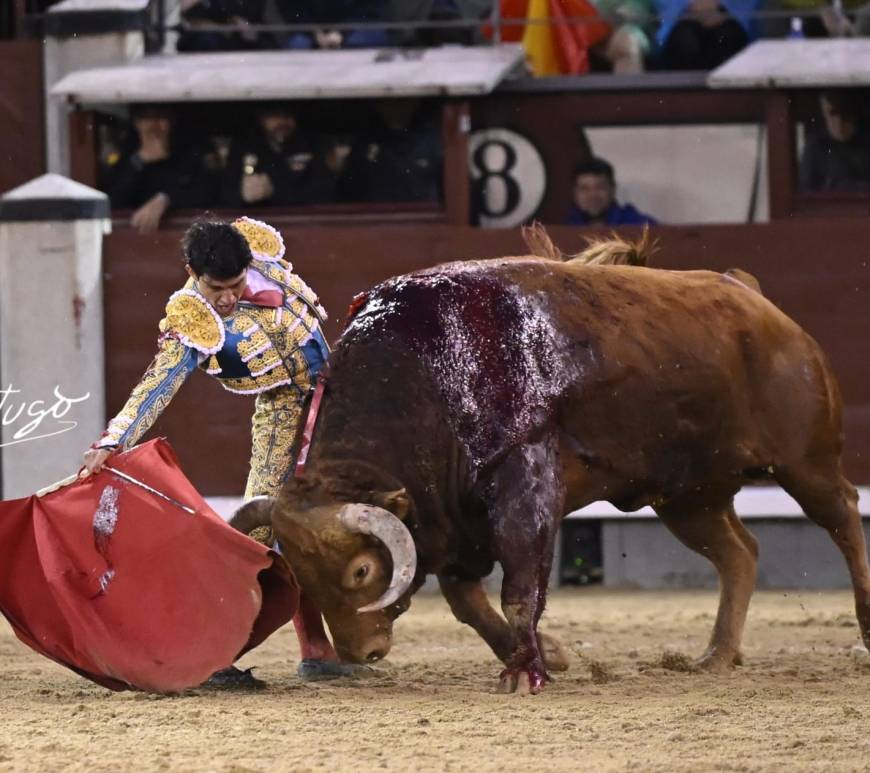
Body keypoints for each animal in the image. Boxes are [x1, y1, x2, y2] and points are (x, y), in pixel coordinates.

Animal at [231, 227, 870, 694]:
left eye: (362, 571)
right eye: (301, 576)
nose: (361, 652)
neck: (424, 373)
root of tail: (752, 296)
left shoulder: (526, 480)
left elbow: (517, 587)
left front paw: (526, 671)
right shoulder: (452, 516)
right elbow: (467, 601)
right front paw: (549, 655)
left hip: (806, 461)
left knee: (843, 519)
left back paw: (863, 627)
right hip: (688, 495)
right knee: (740, 553)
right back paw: (716, 655)